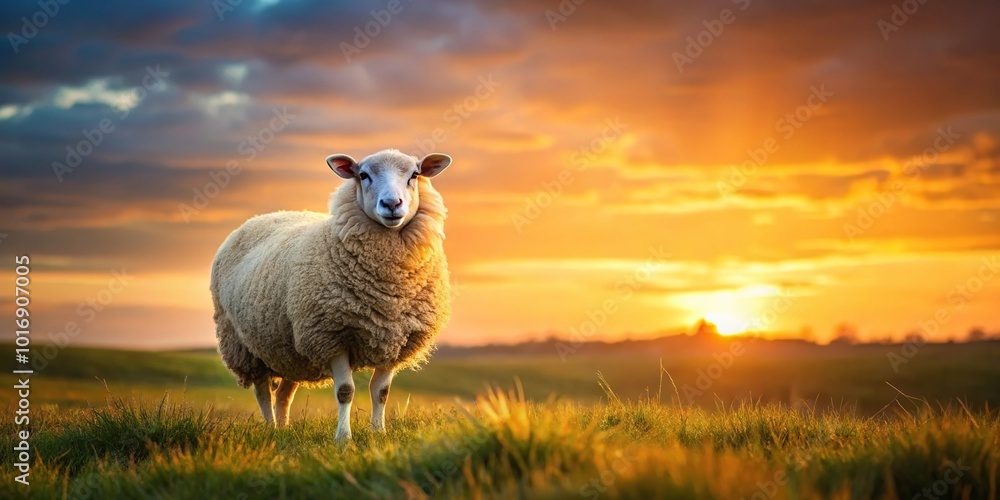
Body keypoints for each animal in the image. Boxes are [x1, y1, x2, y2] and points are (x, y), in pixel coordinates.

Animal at [210, 148, 452, 441]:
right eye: (363, 175)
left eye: (414, 175)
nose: (391, 204)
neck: (389, 289)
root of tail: (264, 216)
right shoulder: (332, 335)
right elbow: (345, 391)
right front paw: (343, 438)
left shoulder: (393, 339)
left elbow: (381, 393)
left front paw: (378, 432)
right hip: (245, 346)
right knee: (262, 391)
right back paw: (270, 428)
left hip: (290, 349)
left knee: (284, 394)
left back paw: (284, 429)